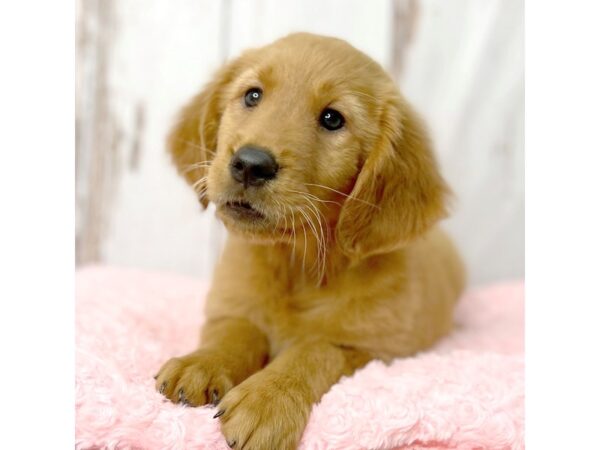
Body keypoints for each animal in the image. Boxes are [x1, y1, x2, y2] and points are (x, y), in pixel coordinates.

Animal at [155, 32, 464, 450]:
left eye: (332, 118)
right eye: (252, 95)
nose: (250, 164)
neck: (297, 262)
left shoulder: (372, 348)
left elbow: (314, 349)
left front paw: (267, 399)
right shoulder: (232, 306)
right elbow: (236, 332)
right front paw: (201, 363)